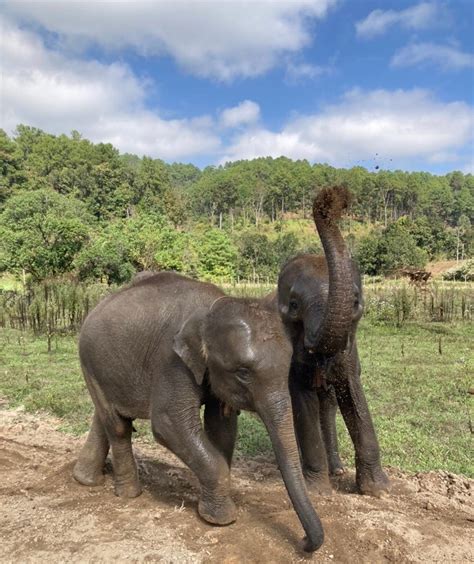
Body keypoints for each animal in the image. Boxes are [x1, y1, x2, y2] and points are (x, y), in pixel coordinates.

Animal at [74, 268, 324, 552]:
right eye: (243, 373)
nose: (303, 541)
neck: (211, 308)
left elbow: (222, 427)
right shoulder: (171, 361)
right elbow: (169, 423)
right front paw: (222, 519)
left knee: (107, 417)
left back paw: (85, 480)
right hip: (89, 360)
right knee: (118, 426)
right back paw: (129, 494)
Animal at [274, 187, 388, 496]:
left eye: (356, 303)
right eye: (293, 305)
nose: (335, 196)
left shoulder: (350, 352)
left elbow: (353, 392)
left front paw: (378, 490)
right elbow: (302, 400)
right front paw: (317, 490)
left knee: (329, 405)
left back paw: (336, 469)